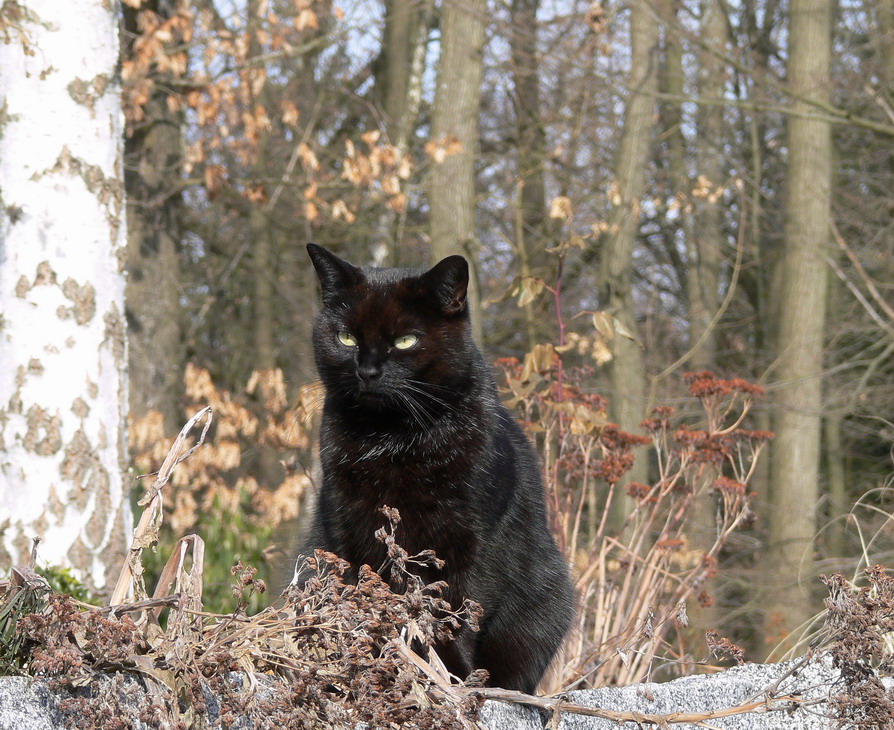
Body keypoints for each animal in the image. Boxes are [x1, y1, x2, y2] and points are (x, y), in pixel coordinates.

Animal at [300, 242, 576, 692]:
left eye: (405, 340)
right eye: (346, 337)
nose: (367, 371)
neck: (395, 438)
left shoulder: (472, 540)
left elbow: (456, 609)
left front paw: (450, 673)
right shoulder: (347, 524)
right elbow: (362, 589)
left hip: (549, 598)